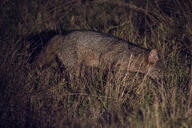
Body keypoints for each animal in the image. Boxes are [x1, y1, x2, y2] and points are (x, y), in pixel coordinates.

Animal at [32, 30, 164, 83]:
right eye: (159, 71)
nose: (163, 81)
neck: (131, 55)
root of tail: (62, 36)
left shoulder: (121, 69)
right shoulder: (108, 60)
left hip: (80, 67)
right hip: (74, 68)